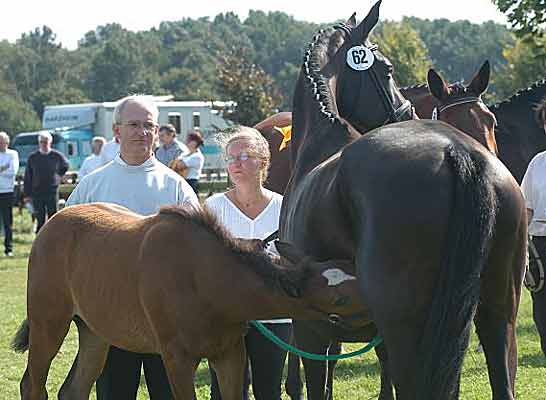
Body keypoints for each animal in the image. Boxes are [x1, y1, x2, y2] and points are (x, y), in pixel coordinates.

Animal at [10, 205, 366, 398]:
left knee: (74, 389)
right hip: (49, 325)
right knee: (32, 386)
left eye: (353, 269)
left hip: (95, 333)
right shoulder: (177, 359)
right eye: (339, 297)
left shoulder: (229, 353)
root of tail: (49, 225)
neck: (205, 278)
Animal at [278, 1, 524, 398]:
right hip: (496, 315)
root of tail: (458, 151)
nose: (407, 112)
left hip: (408, 328)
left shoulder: (311, 330)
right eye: (389, 70)